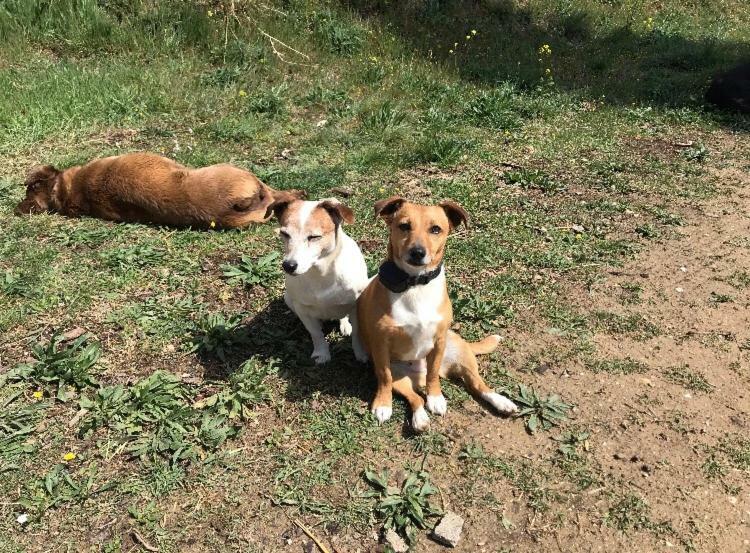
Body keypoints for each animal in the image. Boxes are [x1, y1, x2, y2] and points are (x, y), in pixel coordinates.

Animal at [268, 197, 370, 362]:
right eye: (284, 234)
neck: (320, 273)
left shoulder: (357, 305)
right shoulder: (302, 308)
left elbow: (357, 332)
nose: (288, 266)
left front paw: (360, 354)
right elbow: (316, 334)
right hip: (288, 298)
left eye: (314, 237)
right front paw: (322, 354)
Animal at [356, 197, 520, 432]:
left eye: (436, 229)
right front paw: (383, 405)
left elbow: (433, 374)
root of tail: (418, 375)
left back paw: (500, 401)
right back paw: (420, 419)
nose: (417, 252)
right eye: (404, 226)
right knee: (415, 397)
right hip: (400, 377)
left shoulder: (439, 342)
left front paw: (436, 397)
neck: (414, 284)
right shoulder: (381, 346)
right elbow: (383, 376)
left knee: (477, 384)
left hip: (462, 355)